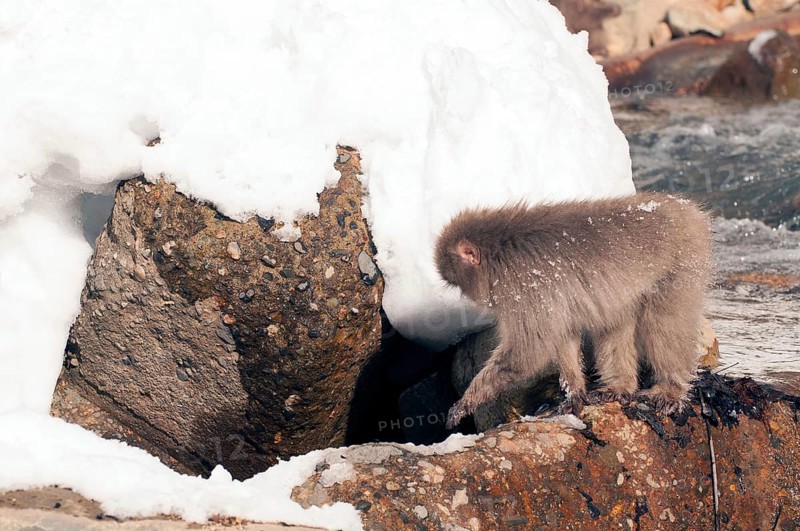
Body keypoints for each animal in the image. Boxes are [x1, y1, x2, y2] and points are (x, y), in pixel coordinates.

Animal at [435, 192, 711, 428]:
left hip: (681, 264)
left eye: (459, 284)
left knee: (663, 324)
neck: (499, 250)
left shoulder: (523, 287)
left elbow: (527, 353)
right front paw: (574, 392)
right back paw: (619, 387)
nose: (475, 300)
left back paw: (671, 390)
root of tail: (686, 209)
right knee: (615, 321)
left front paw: (466, 402)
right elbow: (563, 333)